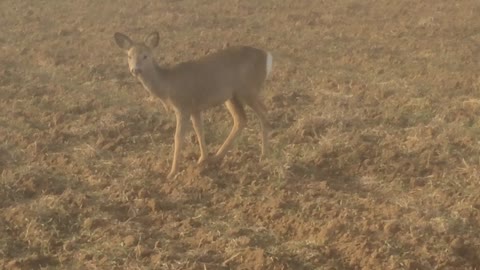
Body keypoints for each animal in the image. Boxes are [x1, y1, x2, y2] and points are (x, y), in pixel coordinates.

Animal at [110, 31, 272, 178]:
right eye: (129, 56)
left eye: (145, 56)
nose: (135, 70)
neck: (167, 85)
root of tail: (265, 56)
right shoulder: (195, 108)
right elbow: (199, 130)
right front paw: (202, 159)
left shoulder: (183, 106)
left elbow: (178, 137)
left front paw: (172, 173)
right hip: (232, 96)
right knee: (241, 119)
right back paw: (216, 157)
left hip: (248, 89)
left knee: (263, 112)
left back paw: (264, 155)